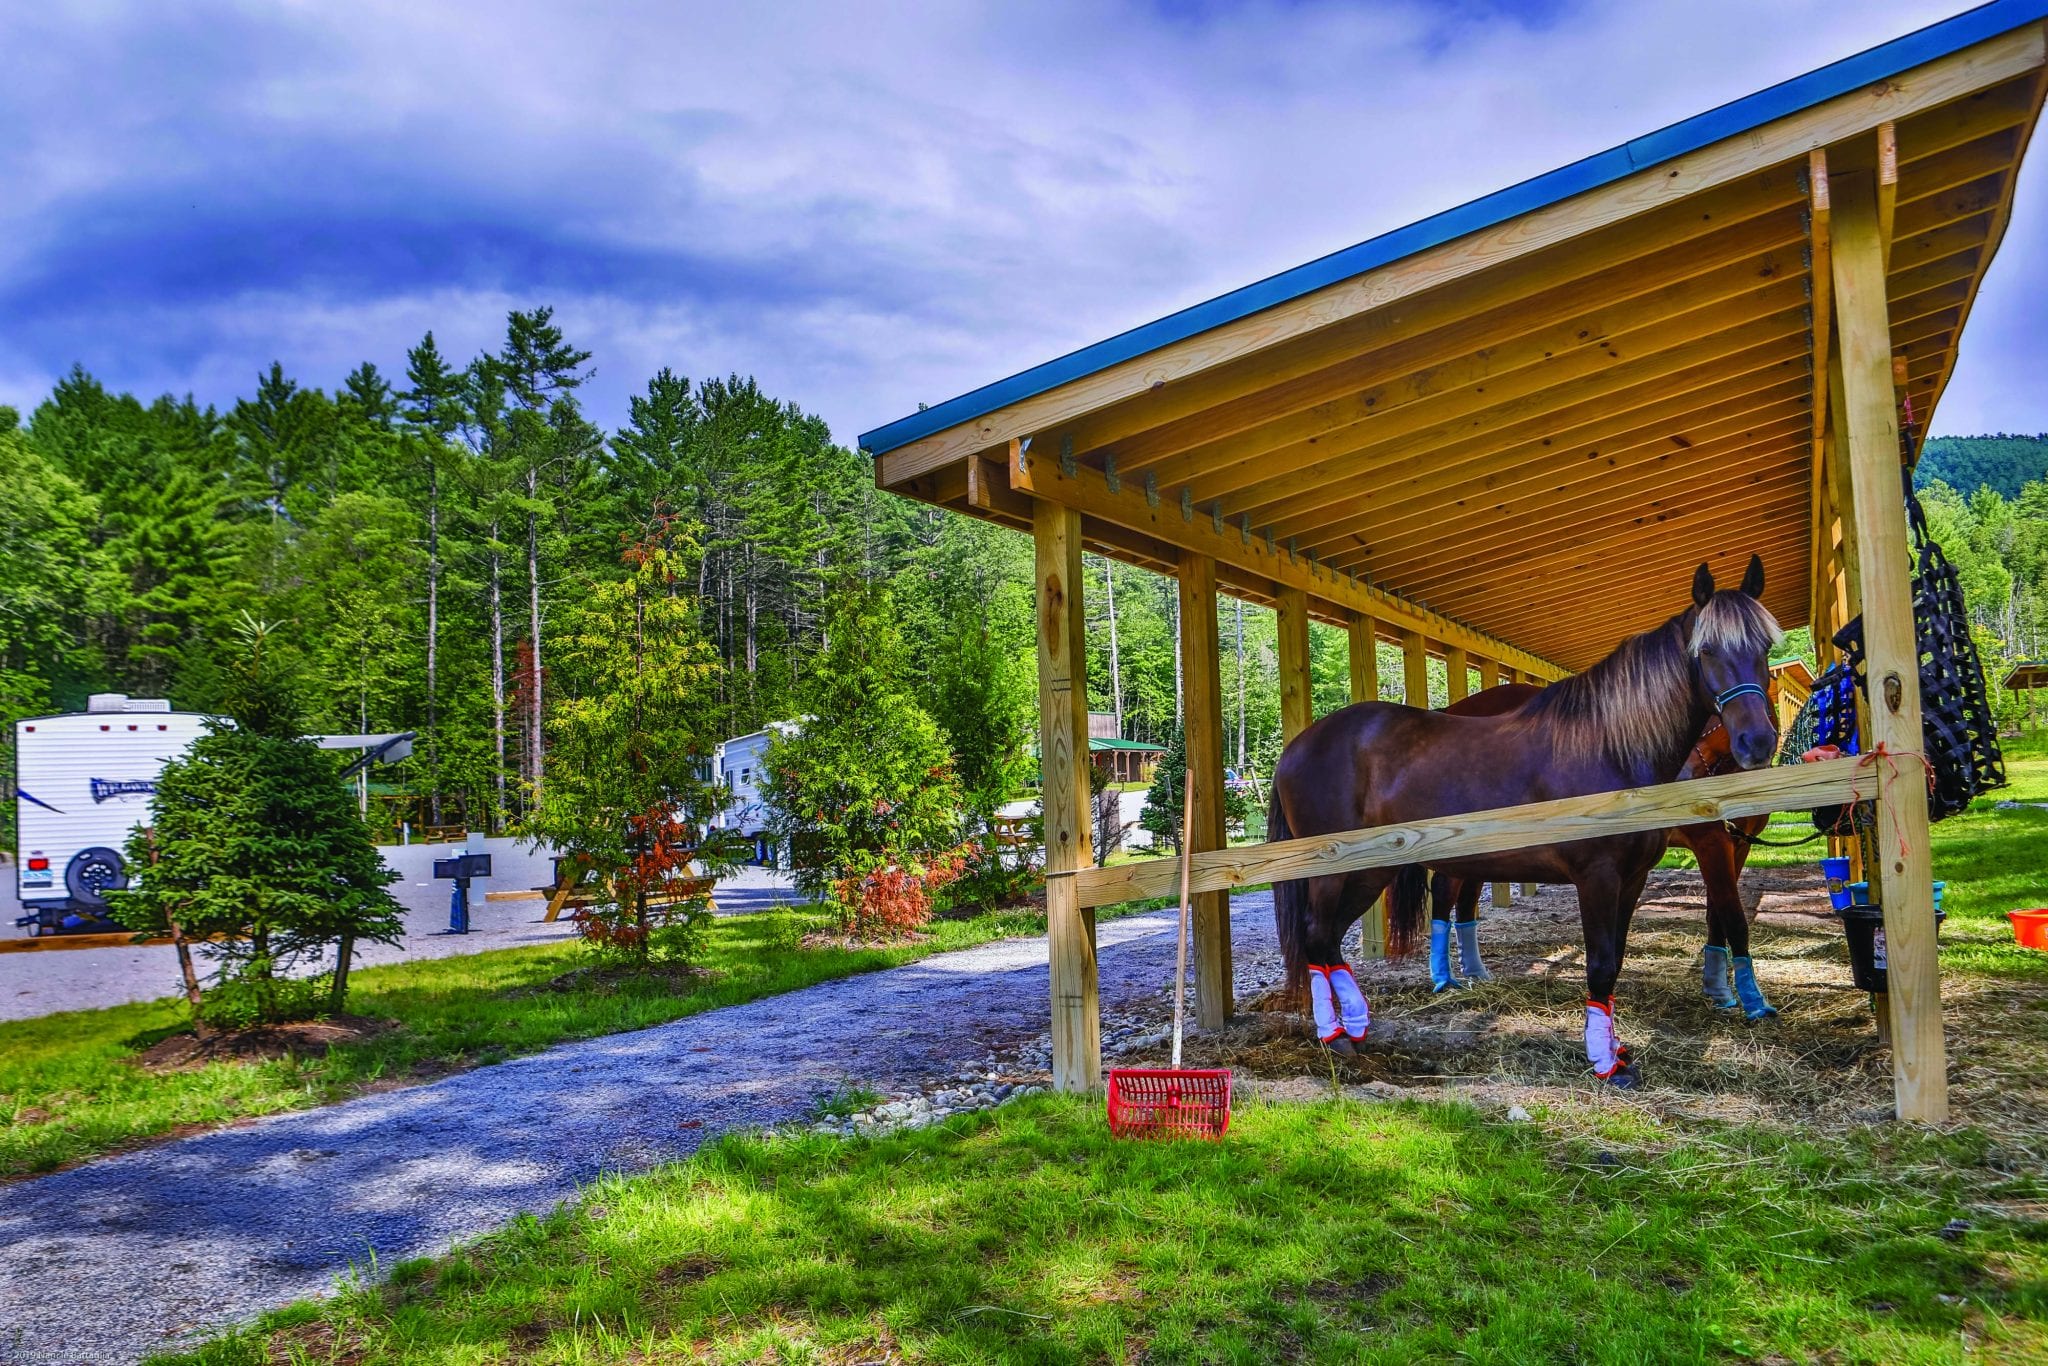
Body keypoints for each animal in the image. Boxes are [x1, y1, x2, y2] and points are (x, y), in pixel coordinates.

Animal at [1417, 688, 1785, 1019]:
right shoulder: (1711, 842)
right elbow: (1733, 917)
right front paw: (1750, 999)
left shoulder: (1738, 845)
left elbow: (1717, 915)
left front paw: (1718, 988)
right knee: (1446, 891)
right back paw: (1443, 977)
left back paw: (1474, 973)